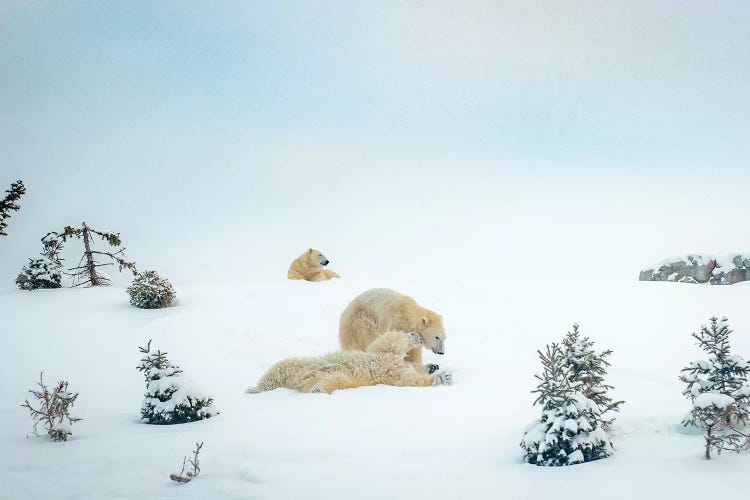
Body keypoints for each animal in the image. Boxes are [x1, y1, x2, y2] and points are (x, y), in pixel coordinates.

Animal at [250, 332, 456, 394]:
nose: (435, 365)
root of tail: (297, 380)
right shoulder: (386, 357)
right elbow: (390, 342)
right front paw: (416, 337)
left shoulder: (393, 374)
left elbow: (409, 380)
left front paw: (443, 377)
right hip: (298, 363)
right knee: (278, 369)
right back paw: (254, 388)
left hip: (333, 377)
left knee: (335, 379)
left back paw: (318, 389)